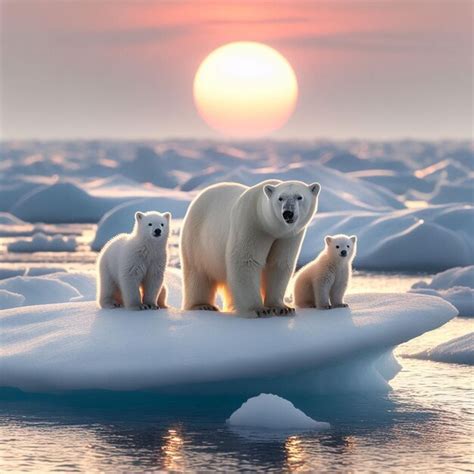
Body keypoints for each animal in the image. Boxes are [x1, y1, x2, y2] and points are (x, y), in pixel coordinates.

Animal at [181, 180, 322, 316]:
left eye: (299, 197)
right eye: (280, 198)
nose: (288, 213)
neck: (270, 226)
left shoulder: (288, 236)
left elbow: (279, 264)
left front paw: (282, 308)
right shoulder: (251, 224)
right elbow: (246, 261)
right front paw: (258, 310)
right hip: (197, 239)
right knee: (197, 272)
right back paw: (202, 305)